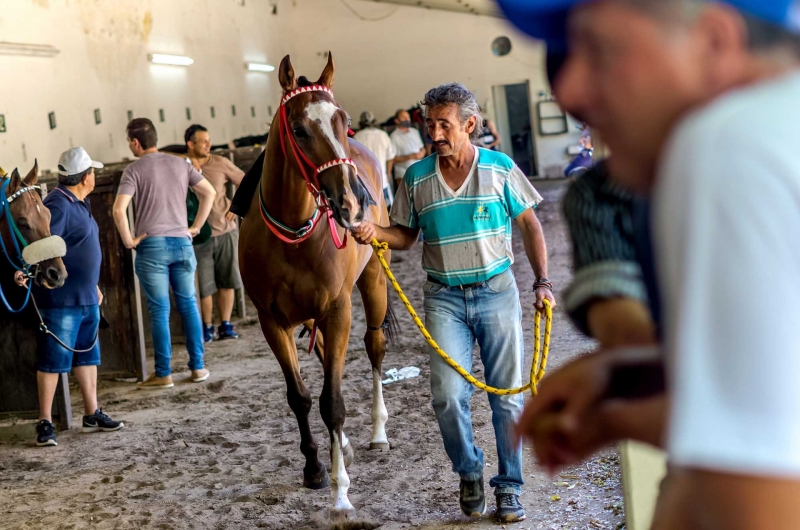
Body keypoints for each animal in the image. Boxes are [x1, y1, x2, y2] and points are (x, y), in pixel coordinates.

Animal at [238, 54, 396, 520]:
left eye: (343, 121)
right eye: (299, 129)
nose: (351, 199)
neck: (293, 234)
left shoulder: (337, 308)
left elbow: (333, 402)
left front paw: (341, 493)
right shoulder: (272, 320)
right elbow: (301, 397)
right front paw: (314, 466)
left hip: (374, 279)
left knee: (374, 346)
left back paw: (377, 432)